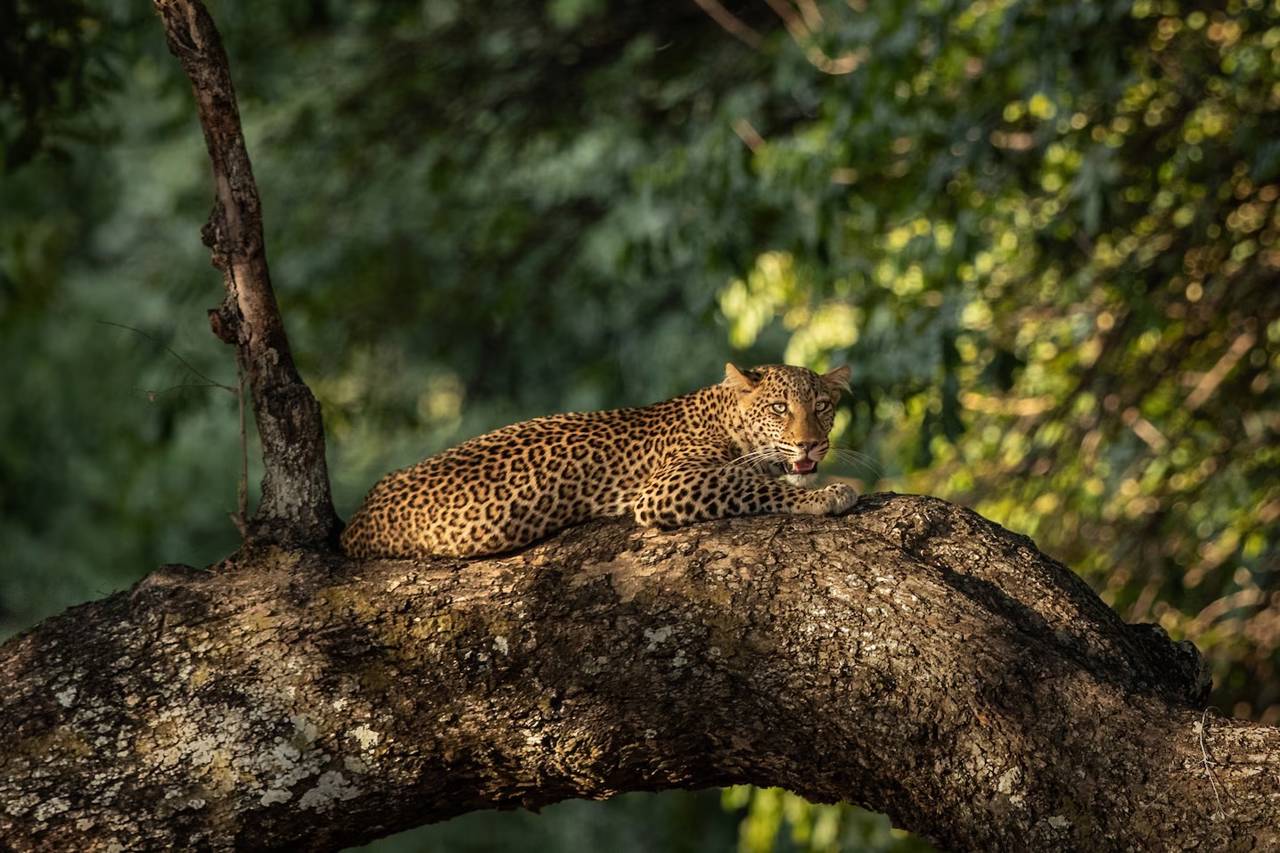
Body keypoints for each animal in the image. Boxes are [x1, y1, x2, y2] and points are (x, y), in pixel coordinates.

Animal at [340, 358, 860, 558]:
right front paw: (832, 493)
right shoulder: (667, 484)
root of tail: (354, 522)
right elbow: (752, 485)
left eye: (821, 407)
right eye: (779, 409)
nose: (810, 444)